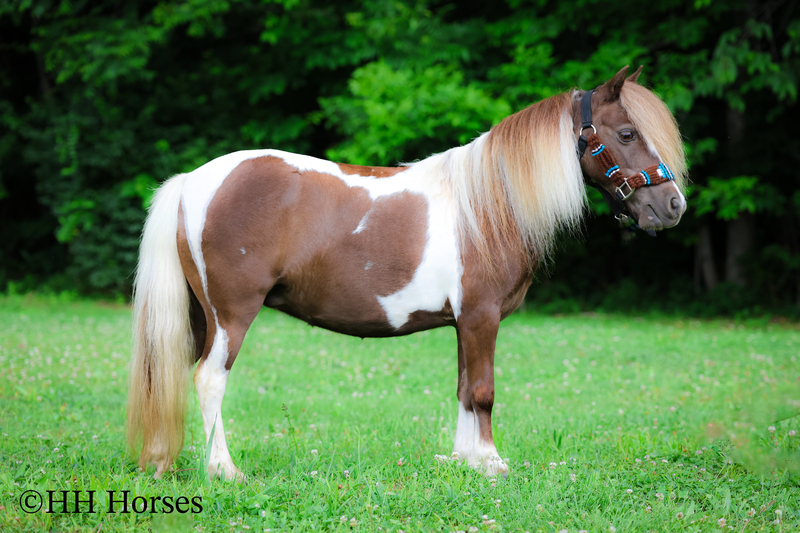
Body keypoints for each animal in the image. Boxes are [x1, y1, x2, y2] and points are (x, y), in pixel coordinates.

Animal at [127, 66, 688, 480]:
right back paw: (224, 471)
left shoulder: (465, 322)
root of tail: (193, 181)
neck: (488, 205)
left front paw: (464, 461)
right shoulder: (481, 316)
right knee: (210, 380)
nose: (673, 205)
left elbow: (463, 388)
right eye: (626, 133)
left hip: (202, 317)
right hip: (231, 315)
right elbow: (483, 391)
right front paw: (491, 463)